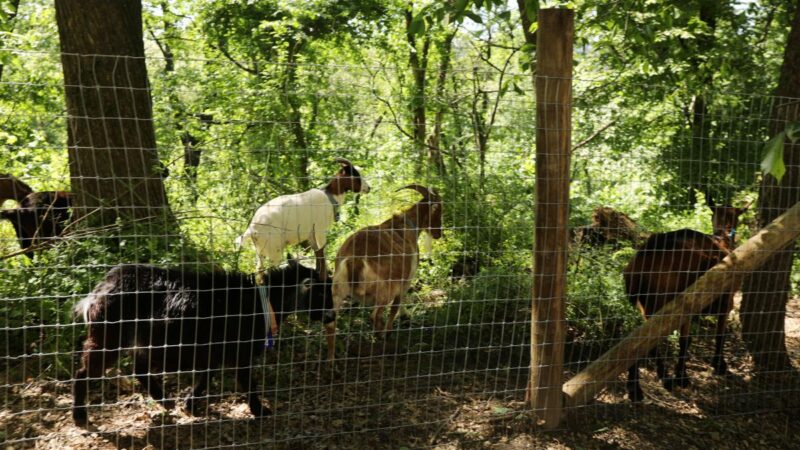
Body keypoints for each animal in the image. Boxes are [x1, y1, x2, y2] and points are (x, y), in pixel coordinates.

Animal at [69, 258, 332, 428]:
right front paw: (260, 411)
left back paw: (164, 400)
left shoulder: (213, 351)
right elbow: (247, 383)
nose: (332, 316)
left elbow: (207, 375)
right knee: (84, 372)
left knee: (139, 368)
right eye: (320, 293)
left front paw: (190, 403)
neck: (262, 303)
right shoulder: (239, 351)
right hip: (109, 337)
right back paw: (80, 415)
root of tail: (98, 291)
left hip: (140, 341)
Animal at [236, 156, 370, 280]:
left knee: (260, 270)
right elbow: (322, 251)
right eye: (355, 175)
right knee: (270, 269)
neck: (329, 197)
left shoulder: (311, 234)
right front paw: (324, 277)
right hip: (274, 249)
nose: (368, 188)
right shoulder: (320, 230)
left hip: (260, 250)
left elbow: (317, 252)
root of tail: (252, 227)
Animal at [324, 185, 444, 360]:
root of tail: (355, 259)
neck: (408, 224)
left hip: (337, 290)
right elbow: (396, 306)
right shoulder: (405, 280)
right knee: (374, 315)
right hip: (384, 290)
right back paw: (382, 335)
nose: (438, 234)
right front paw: (393, 327)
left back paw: (330, 360)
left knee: (331, 322)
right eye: (439, 210)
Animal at [620, 197, 748, 400]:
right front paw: (718, 365)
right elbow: (718, 334)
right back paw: (662, 379)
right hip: (660, 303)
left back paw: (636, 388)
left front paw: (682, 374)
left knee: (635, 341)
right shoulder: (725, 302)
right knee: (649, 342)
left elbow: (685, 339)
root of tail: (641, 259)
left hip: (646, 305)